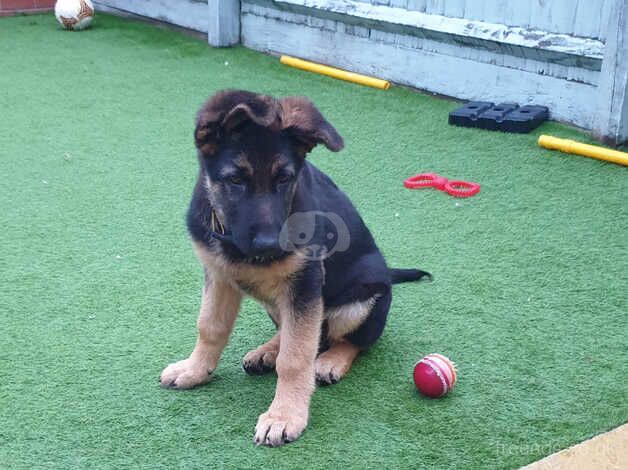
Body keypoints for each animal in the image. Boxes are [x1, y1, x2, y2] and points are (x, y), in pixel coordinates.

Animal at [159, 90, 430, 446]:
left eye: (285, 179)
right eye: (235, 180)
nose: (269, 245)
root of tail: (388, 274)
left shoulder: (305, 283)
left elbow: (296, 356)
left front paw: (285, 415)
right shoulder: (219, 276)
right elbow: (210, 327)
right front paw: (194, 370)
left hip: (362, 302)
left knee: (350, 341)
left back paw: (330, 361)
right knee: (295, 330)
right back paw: (267, 351)